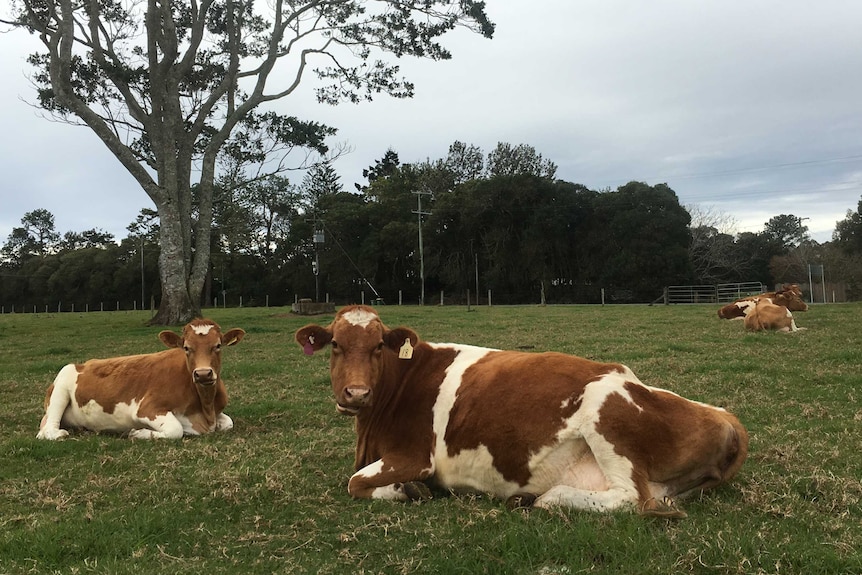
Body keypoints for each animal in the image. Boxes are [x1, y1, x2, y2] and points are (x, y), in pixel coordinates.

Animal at [37, 320, 246, 440]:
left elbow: (228, 422)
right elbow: (175, 429)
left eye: (218, 345)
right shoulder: (146, 409)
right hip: (61, 387)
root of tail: (82, 364)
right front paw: (137, 433)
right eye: (186, 347)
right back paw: (59, 434)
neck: (206, 408)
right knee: (47, 431)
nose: (203, 374)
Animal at [298, 308, 748, 520]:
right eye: (335, 344)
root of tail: (726, 417)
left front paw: (405, 491)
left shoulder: (413, 456)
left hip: (606, 412)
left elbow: (355, 482)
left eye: (378, 346)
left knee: (631, 499)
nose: (356, 393)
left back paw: (545, 498)